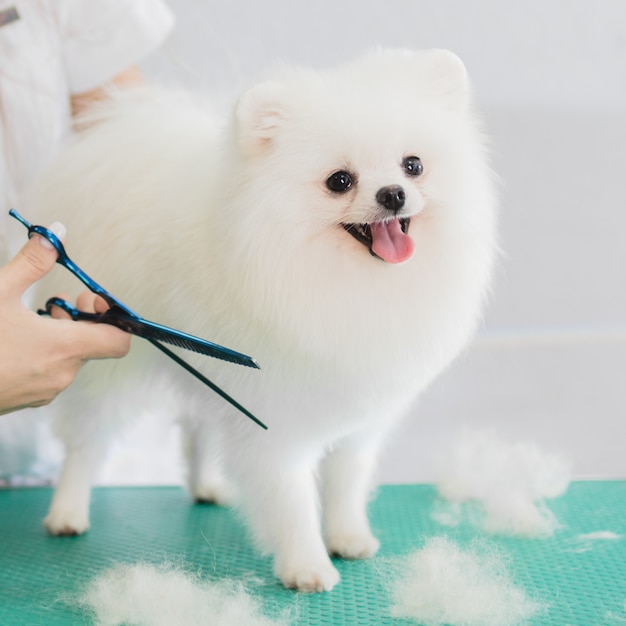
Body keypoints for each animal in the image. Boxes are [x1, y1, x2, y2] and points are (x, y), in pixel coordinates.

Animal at [22, 48, 494, 588]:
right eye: (340, 181)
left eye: (413, 165)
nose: (393, 193)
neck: (351, 284)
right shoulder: (277, 416)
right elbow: (291, 497)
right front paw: (307, 565)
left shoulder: (358, 412)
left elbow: (347, 479)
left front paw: (349, 537)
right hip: (111, 371)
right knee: (86, 444)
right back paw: (67, 512)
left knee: (197, 428)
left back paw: (206, 485)